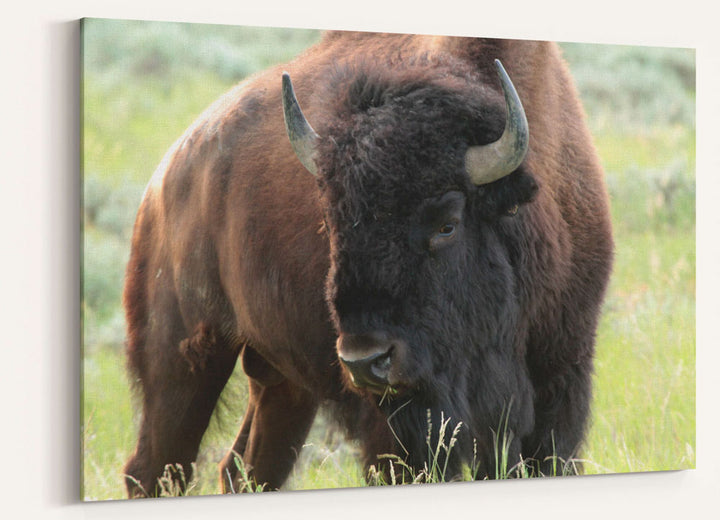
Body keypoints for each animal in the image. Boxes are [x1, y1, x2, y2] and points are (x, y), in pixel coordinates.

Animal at [122, 30, 612, 498]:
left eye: (447, 224)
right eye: (331, 221)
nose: (365, 360)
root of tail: (170, 173)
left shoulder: (559, 383)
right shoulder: (400, 425)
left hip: (282, 384)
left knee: (245, 467)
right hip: (182, 360)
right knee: (154, 467)